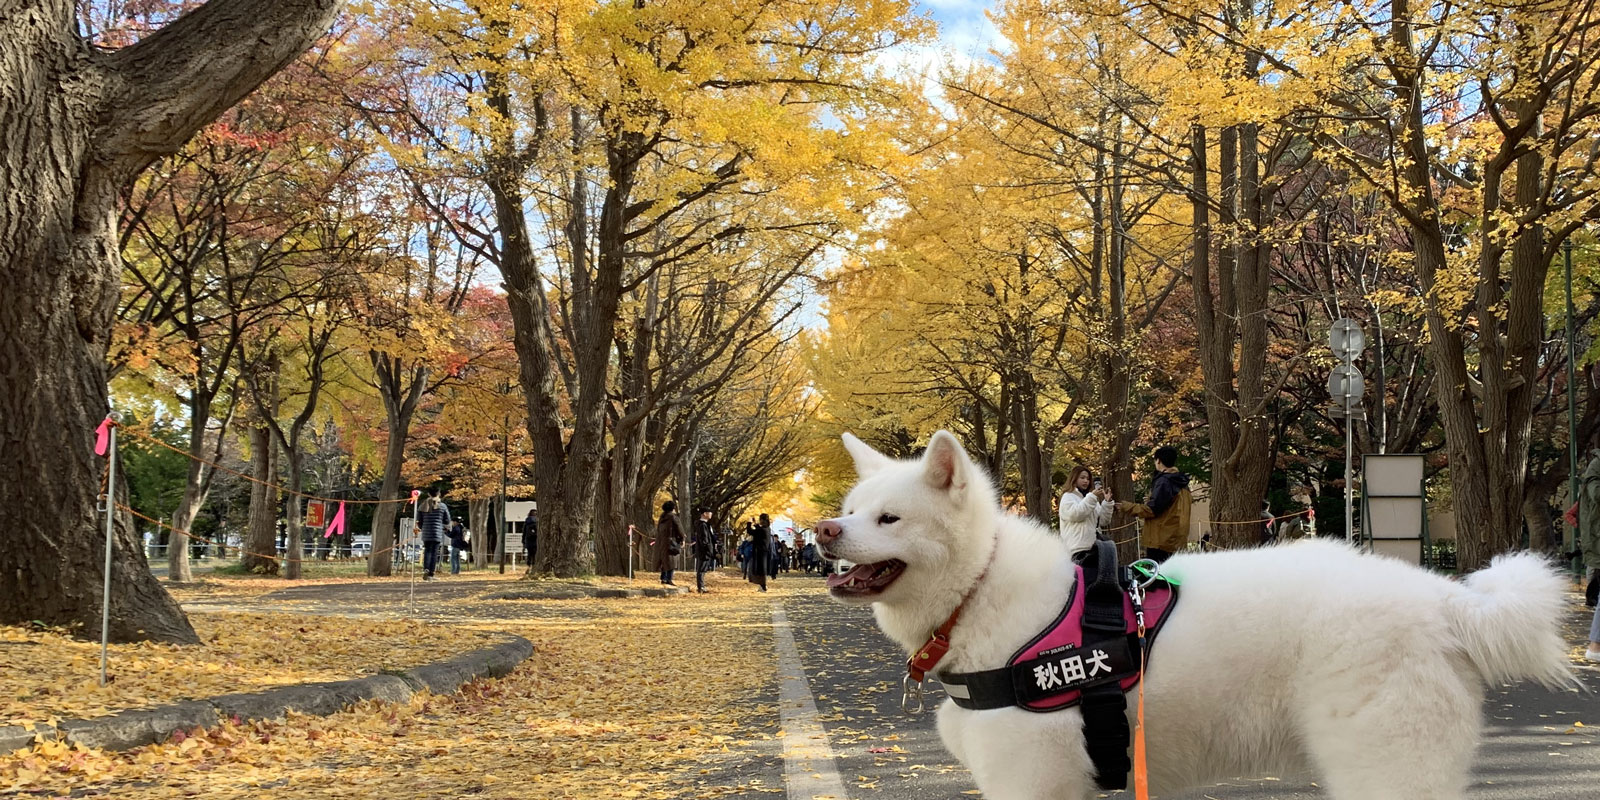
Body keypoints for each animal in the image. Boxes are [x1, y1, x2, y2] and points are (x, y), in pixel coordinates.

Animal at [819, 432, 1568, 800]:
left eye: (889, 519)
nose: (824, 531)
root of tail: (1446, 598)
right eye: (853, 509)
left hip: (1385, 770)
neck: (979, 589)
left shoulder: (1029, 783)